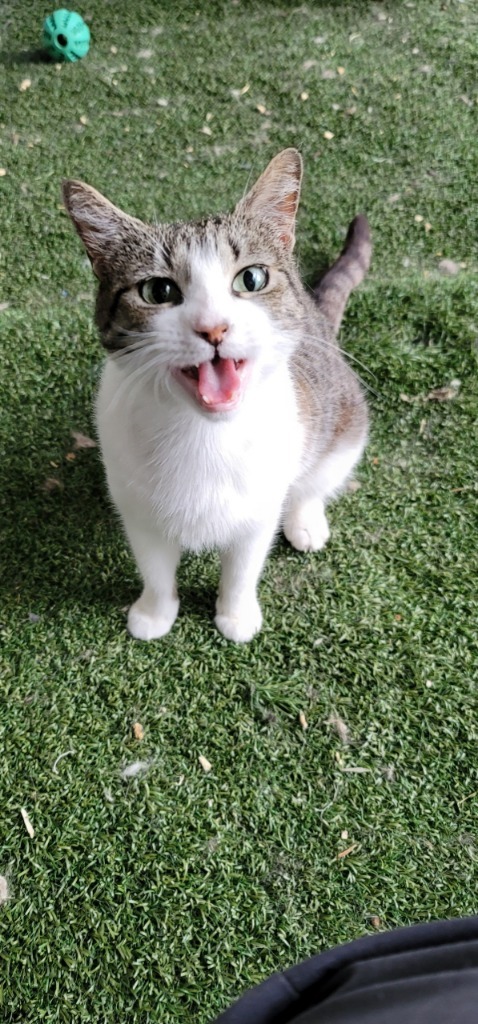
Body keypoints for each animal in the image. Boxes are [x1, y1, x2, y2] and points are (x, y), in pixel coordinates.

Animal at [62, 146, 370, 638]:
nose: (214, 327)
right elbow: (155, 568)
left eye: (252, 279)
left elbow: (243, 568)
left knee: (316, 480)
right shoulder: (137, 506)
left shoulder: (259, 509)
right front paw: (155, 613)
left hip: (343, 423)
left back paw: (306, 519)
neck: (204, 434)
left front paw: (236, 615)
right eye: (158, 290)